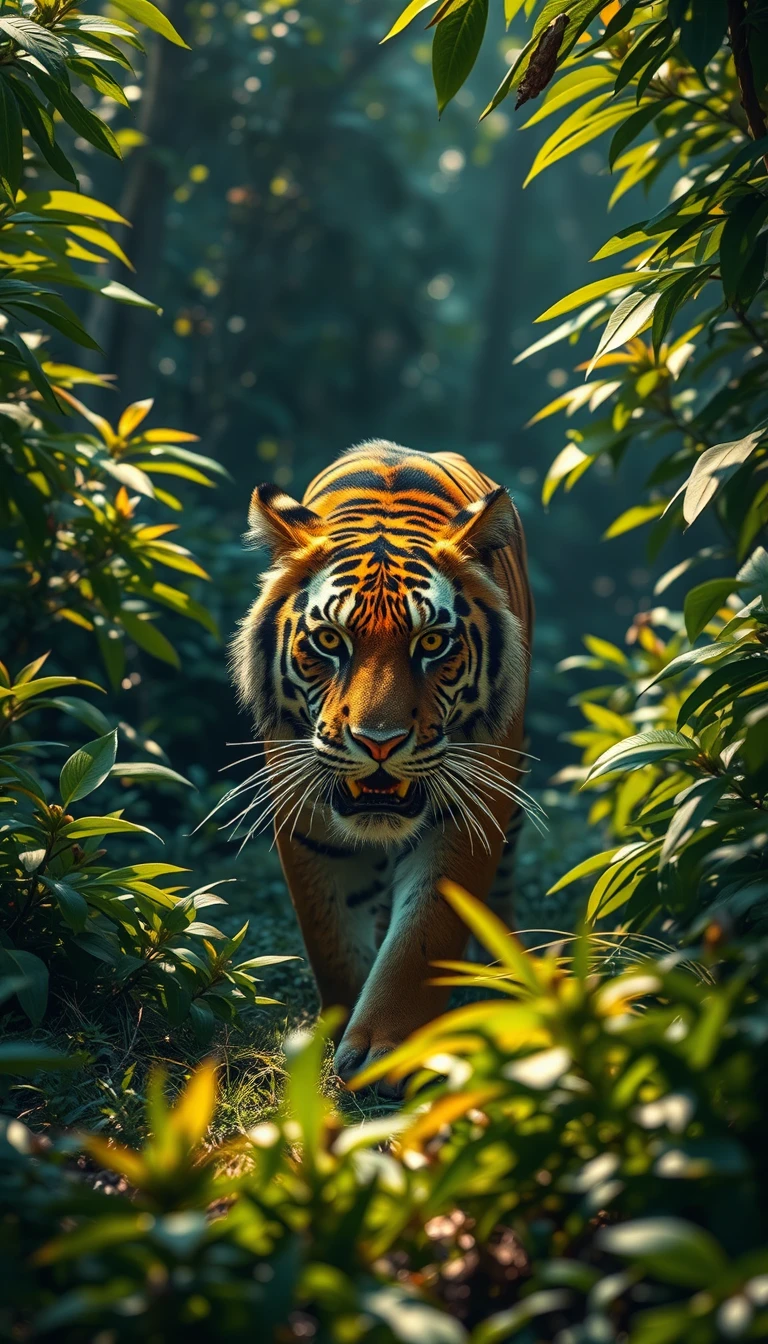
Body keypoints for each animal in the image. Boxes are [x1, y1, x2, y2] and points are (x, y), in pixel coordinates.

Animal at [232, 440, 534, 1094]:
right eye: (328, 641)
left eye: (432, 644)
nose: (378, 742)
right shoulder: (305, 818)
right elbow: (330, 936)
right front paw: (339, 1029)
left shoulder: (468, 810)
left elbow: (423, 935)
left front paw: (383, 1049)